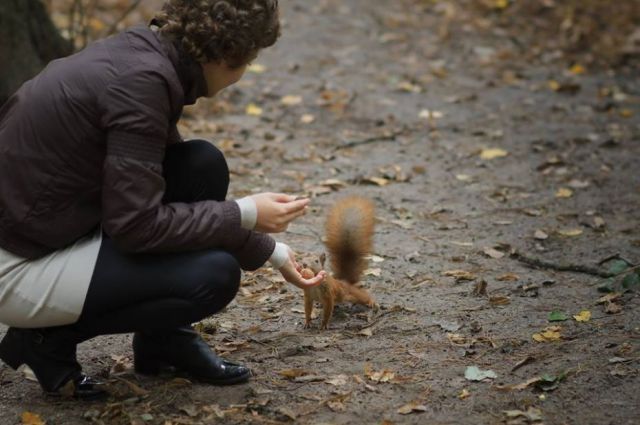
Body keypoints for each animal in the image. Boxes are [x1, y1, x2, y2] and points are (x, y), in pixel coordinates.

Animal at [302, 197, 378, 330]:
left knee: (362, 296)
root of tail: (344, 282)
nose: (304, 265)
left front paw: (324, 324)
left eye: (316, 261)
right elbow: (307, 309)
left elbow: (328, 310)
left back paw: (371, 301)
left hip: (349, 294)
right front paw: (307, 322)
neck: (314, 283)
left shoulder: (328, 294)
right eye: (302, 259)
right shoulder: (308, 296)